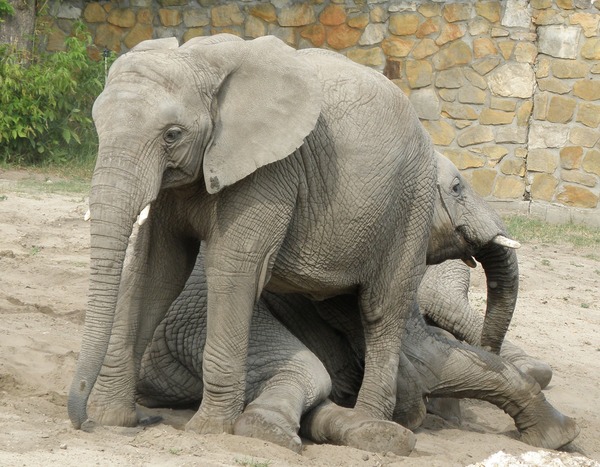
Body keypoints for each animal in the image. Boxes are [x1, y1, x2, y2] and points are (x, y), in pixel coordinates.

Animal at [69, 33, 520, 436]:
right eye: (97, 127)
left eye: (172, 134)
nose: (80, 421)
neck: (201, 60)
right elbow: (159, 269)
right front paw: (113, 420)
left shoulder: (273, 170)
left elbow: (232, 269)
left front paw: (208, 430)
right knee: (349, 307)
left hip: (410, 203)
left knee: (382, 309)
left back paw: (371, 426)